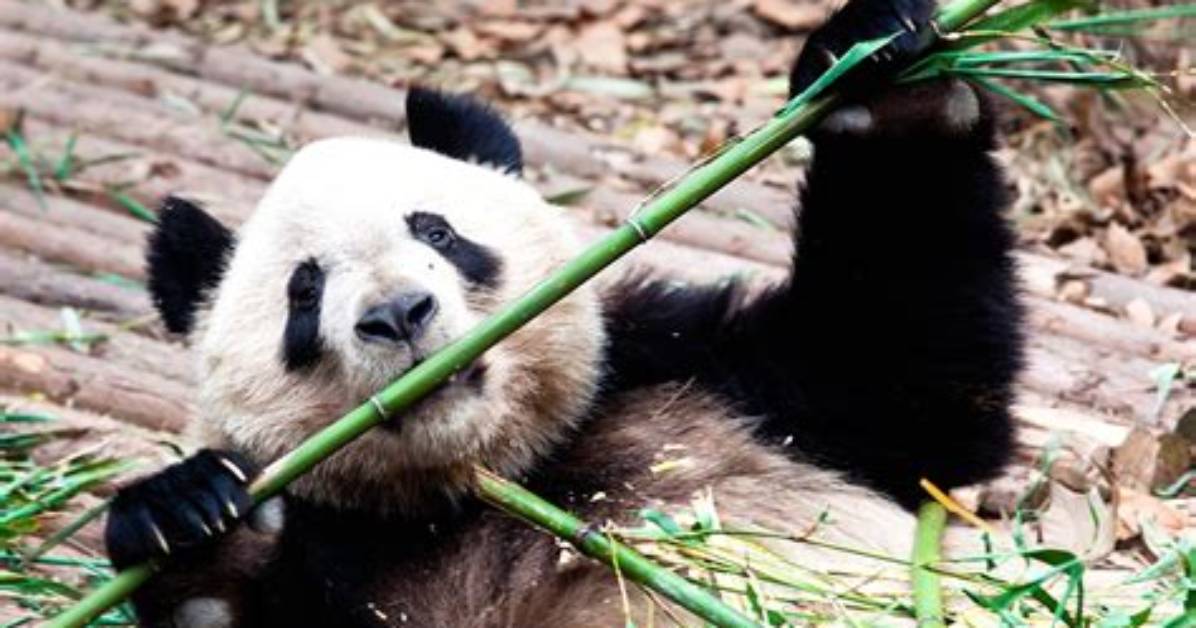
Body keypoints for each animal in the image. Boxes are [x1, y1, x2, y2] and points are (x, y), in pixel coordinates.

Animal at [105, 0, 1022, 625]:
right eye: (305, 292)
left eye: (436, 230)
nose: (399, 314)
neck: (492, 480)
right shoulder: (343, 549)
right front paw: (194, 528)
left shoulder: (697, 371)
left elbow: (905, 383)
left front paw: (882, 78)